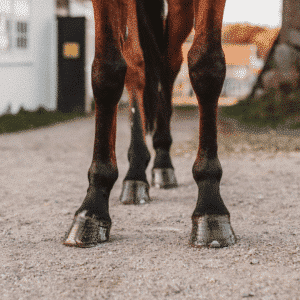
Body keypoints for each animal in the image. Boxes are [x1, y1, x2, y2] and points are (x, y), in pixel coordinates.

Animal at [63, 0, 237, 247]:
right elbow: (107, 70)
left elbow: (206, 64)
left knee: (169, 62)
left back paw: (162, 162)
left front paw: (210, 206)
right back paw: (136, 173)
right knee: (136, 66)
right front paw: (92, 208)